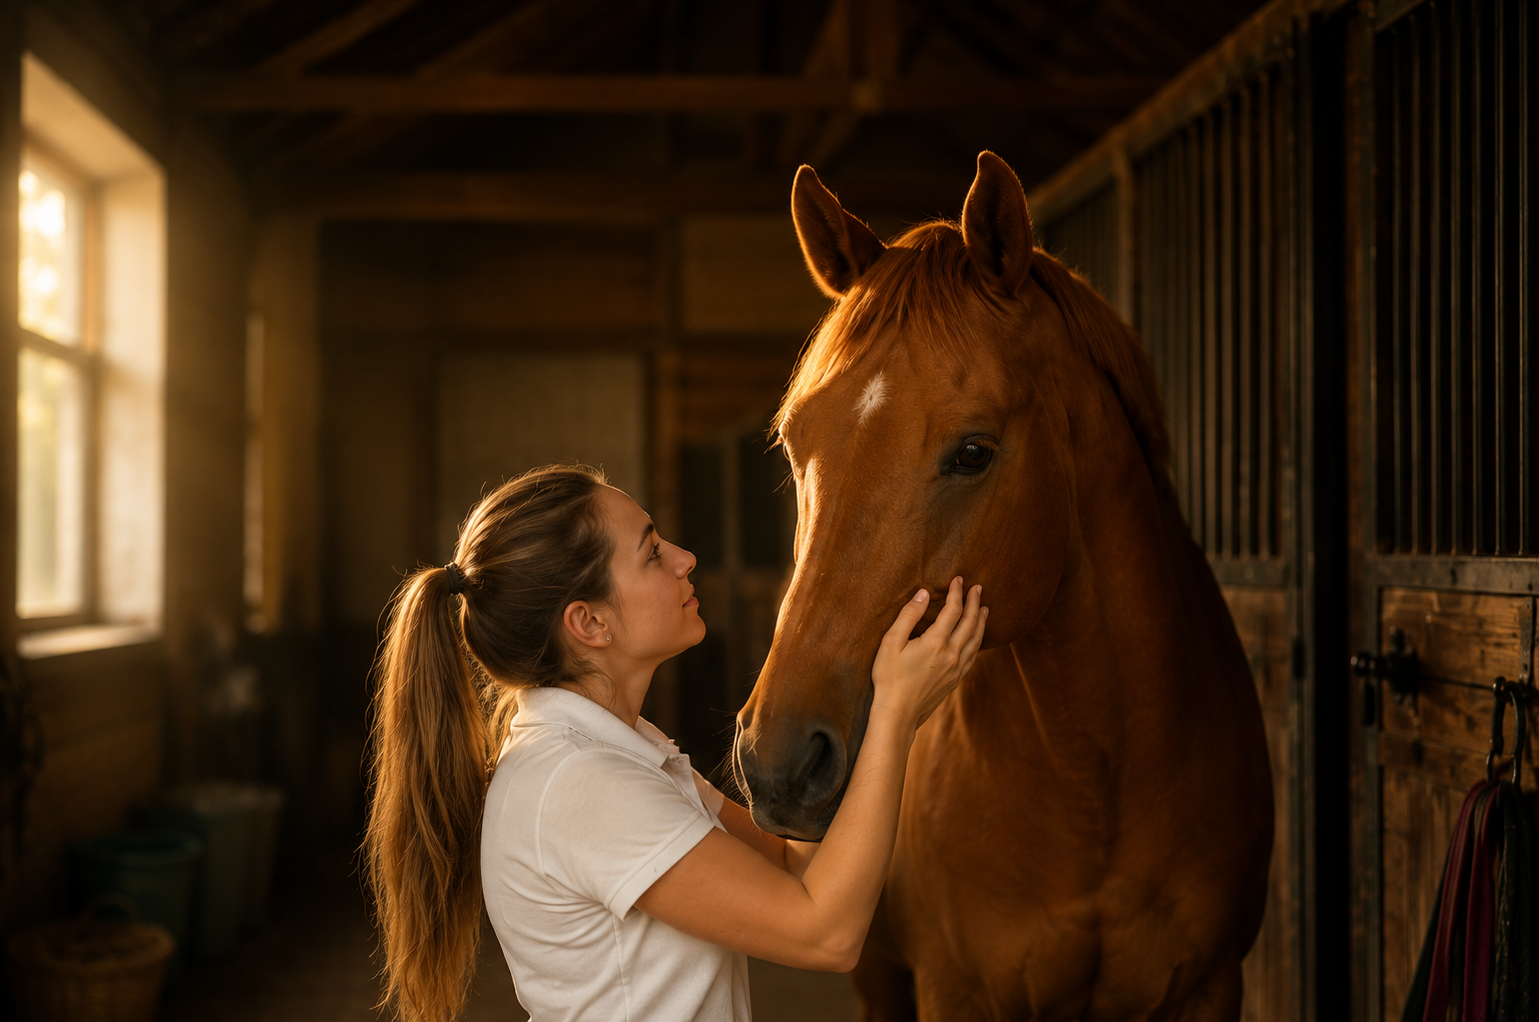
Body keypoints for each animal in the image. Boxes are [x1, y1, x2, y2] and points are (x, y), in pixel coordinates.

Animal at [732, 152, 1273, 1021]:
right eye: (793, 442)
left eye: (973, 451)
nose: (777, 761)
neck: (1098, 778)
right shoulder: (954, 992)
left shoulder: (1209, 986)